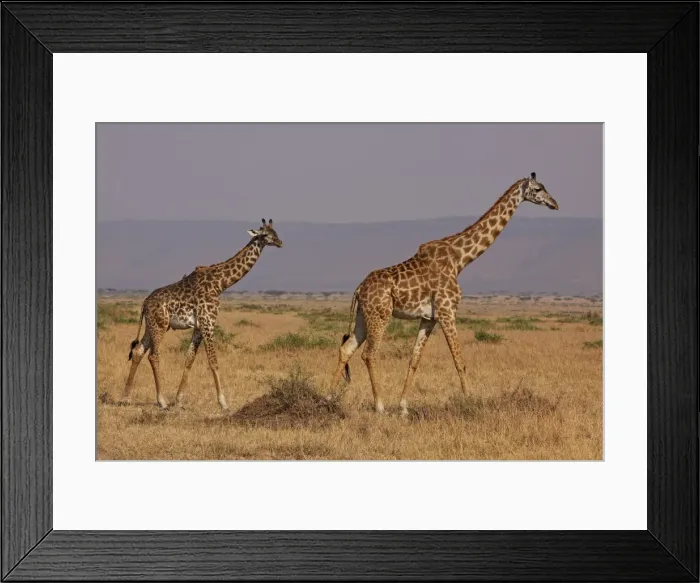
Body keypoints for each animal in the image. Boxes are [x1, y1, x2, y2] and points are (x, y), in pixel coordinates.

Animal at [120, 219, 283, 410]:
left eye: (275, 232)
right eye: (265, 234)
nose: (280, 242)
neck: (220, 284)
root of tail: (144, 304)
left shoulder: (198, 326)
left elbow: (189, 360)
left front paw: (179, 400)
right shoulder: (208, 323)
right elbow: (213, 361)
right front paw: (223, 403)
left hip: (152, 325)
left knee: (138, 351)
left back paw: (125, 397)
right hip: (159, 325)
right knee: (153, 356)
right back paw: (161, 401)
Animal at [328, 173, 558, 417]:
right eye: (538, 188)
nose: (554, 203)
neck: (461, 259)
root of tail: (359, 289)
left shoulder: (429, 318)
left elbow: (414, 360)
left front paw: (403, 407)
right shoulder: (448, 312)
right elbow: (459, 360)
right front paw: (470, 401)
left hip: (364, 316)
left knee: (347, 348)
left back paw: (329, 398)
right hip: (380, 315)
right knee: (369, 354)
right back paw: (379, 406)